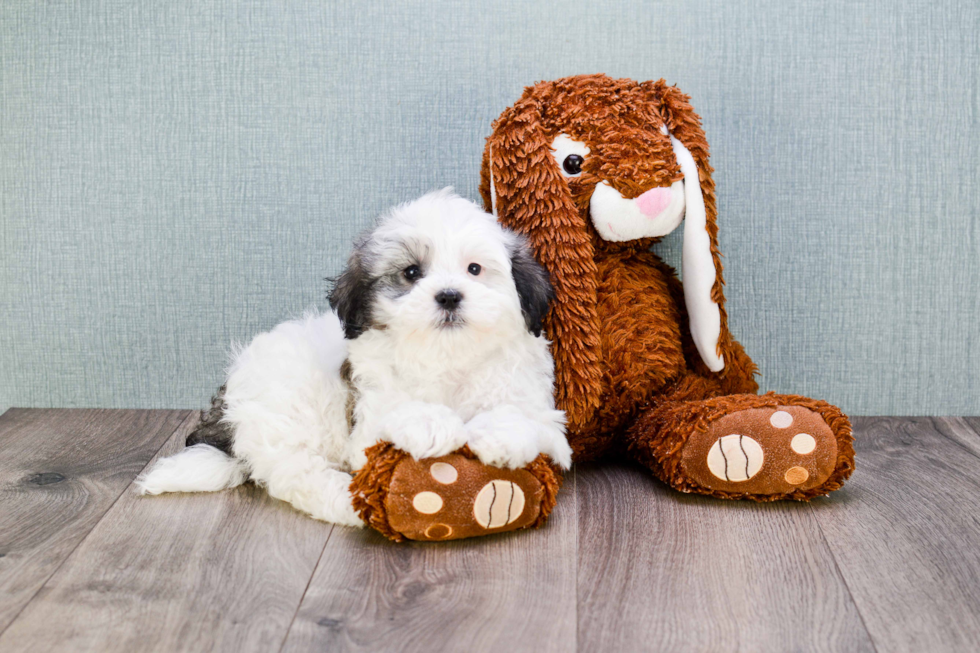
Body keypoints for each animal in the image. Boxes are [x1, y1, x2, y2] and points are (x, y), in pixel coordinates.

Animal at [134, 187, 572, 524]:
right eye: (411, 273)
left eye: (475, 269)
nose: (449, 296)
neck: (447, 358)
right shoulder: (368, 422)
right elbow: (396, 416)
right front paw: (431, 424)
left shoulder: (540, 408)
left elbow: (524, 416)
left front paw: (502, 436)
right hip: (286, 409)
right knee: (294, 473)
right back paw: (347, 502)